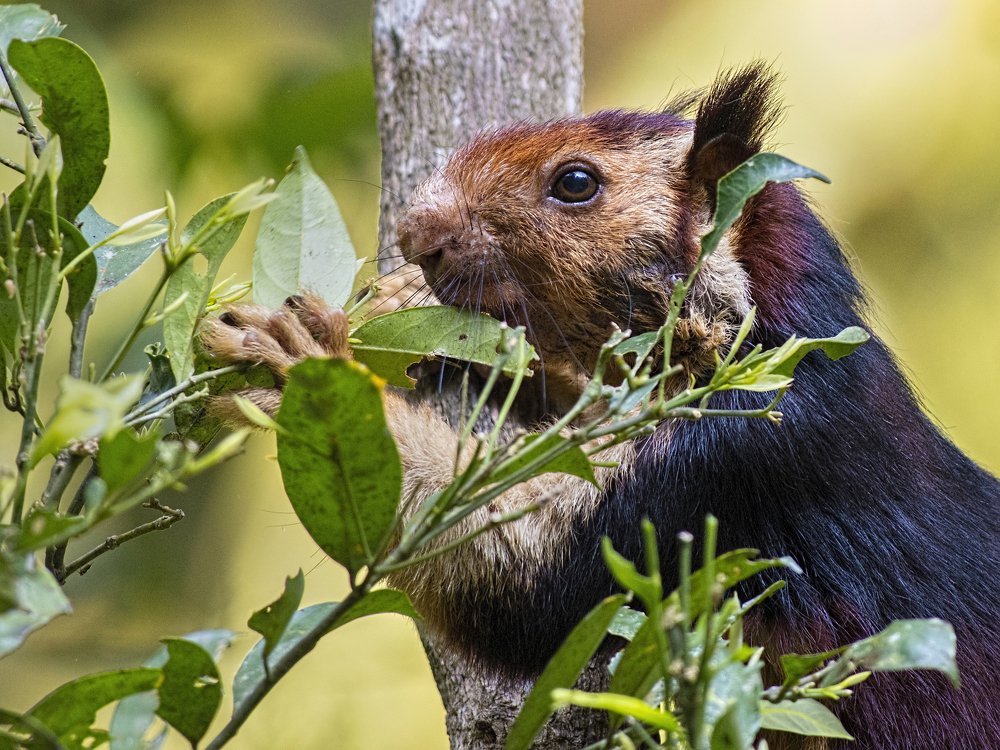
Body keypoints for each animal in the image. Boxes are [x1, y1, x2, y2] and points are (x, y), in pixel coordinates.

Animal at [202, 63, 1000, 749]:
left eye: (576, 182)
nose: (415, 235)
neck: (765, 334)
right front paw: (411, 322)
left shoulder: (740, 458)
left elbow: (521, 574)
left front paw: (300, 356)